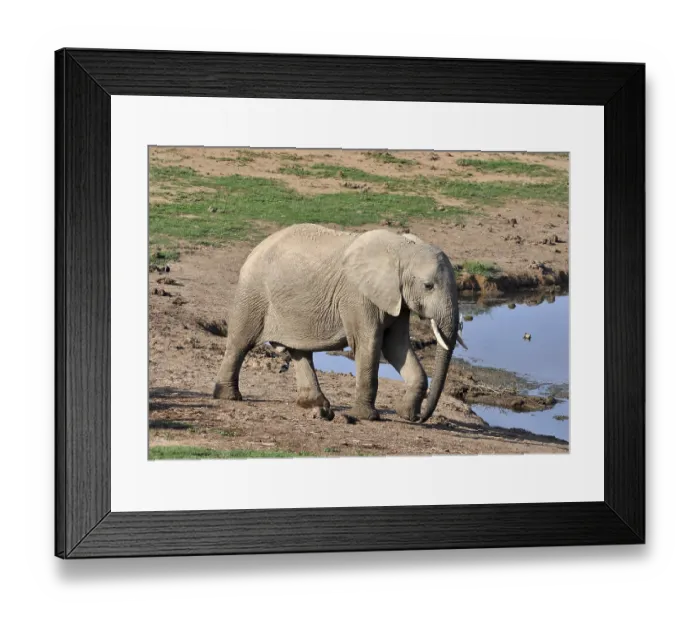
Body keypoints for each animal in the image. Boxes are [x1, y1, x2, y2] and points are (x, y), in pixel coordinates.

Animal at [213, 223, 466, 423]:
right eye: (428, 286)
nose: (422, 417)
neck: (402, 248)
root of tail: (257, 247)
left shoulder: (396, 299)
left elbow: (396, 346)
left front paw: (406, 414)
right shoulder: (357, 296)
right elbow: (368, 344)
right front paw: (365, 417)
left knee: (299, 350)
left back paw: (317, 406)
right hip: (253, 292)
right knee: (240, 342)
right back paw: (228, 396)